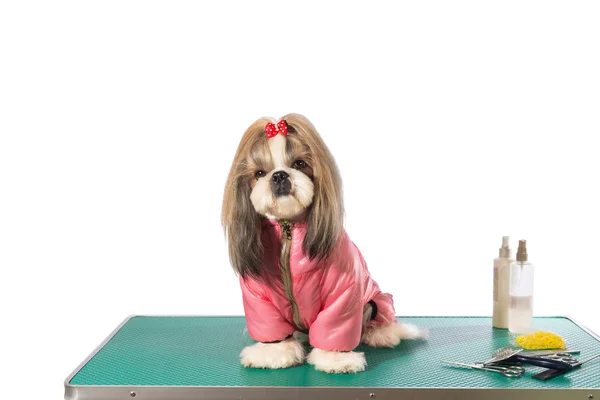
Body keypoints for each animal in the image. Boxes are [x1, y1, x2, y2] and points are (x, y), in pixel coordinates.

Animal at [221, 113, 426, 376]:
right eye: (259, 173)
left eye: (299, 163)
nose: (279, 175)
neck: (289, 233)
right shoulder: (257, 298)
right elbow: (271, 326)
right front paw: (274, 352)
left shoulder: (344, 293)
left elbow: (335, 324)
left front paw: (335, 358)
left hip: (376, 301)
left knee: (379, 316)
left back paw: (381, 333)